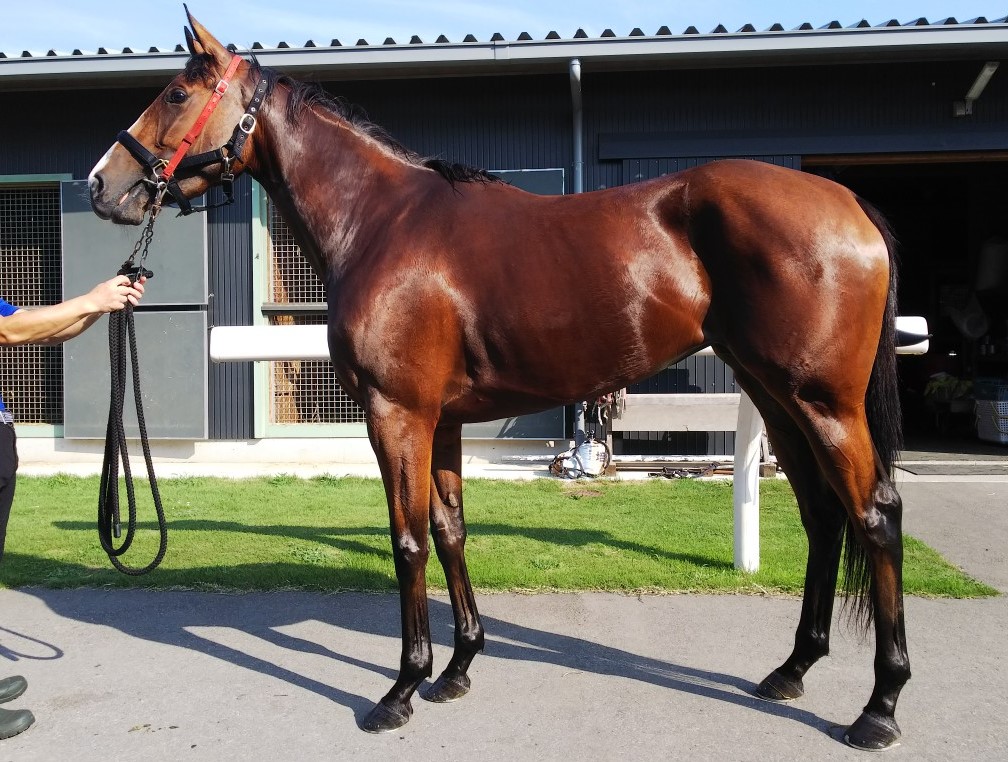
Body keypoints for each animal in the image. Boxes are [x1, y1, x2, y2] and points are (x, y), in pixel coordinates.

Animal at [88, 11, 909, 750]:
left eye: (175, 94)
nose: (102, 185)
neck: (382, 222)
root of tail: (847, 202)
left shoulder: (397, 415)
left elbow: (407, 540)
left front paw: (401, 688)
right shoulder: (443, 421)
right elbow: (449, 530)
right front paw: (457, 668)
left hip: (822, 402)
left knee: (874, 515)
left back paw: (879, 706)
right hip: (777, 397)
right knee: (824, 517)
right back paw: (793, 668)